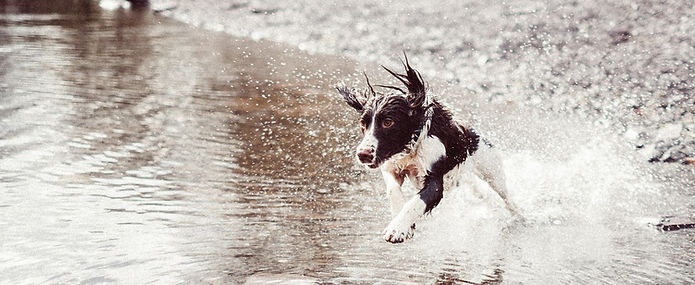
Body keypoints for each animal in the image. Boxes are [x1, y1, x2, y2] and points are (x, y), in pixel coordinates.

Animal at [338, 56, 520, 243]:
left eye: (388, 122)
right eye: (363, 123)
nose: (363, 154)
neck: (411, 148)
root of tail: (473, 134)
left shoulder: (434, 180)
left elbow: (415, 202)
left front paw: (397, 228)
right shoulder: (391, 167)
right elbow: (393, 190)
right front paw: (404, 224)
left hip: (492, 170)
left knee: (506, 197)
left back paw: (519, 216)